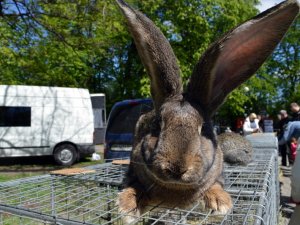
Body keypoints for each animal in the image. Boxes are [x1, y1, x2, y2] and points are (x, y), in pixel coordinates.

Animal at [115, 0, 300, 223]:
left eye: (203, 128)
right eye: (158, 125)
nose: (177, 167)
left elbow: (216, 186)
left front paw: (221, 203)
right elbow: (133, 186)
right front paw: (127, 207)